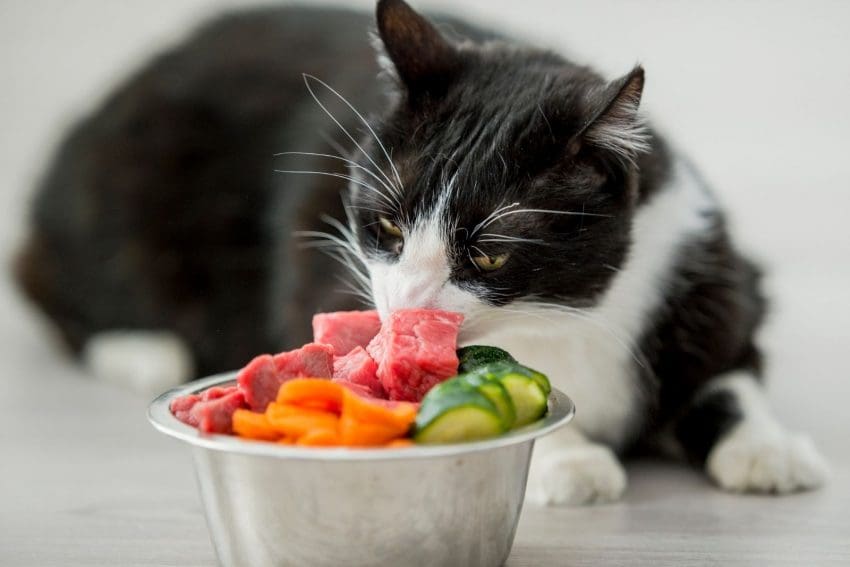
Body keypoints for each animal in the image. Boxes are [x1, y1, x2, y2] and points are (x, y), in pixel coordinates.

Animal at [14, 0, 828, 506]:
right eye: (387, 227)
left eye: (491, 257)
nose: (403, 309)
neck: (564, 311)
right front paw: (570, 459)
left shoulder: (714, 272)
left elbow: (731, 369)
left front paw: (768, 449)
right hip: (116, 199)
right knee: (53, 283)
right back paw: (141, 349)